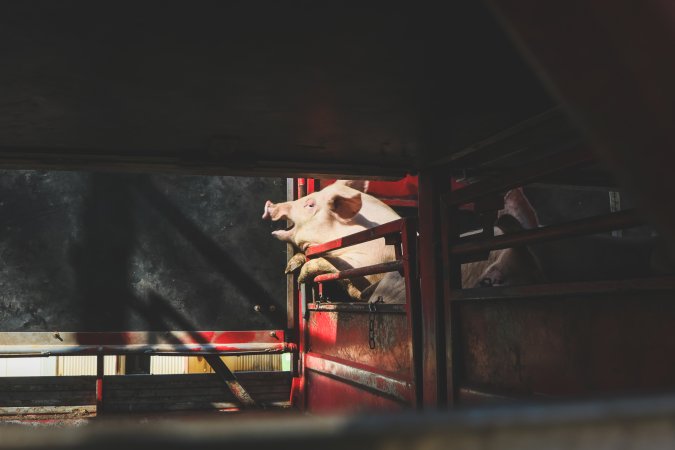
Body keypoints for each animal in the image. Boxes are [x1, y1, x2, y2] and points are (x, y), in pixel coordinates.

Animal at [262, 179, 548, 302]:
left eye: (310, 204)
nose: (270, 204)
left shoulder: (369, 265)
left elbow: (332, 264)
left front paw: (299, 274)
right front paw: (293, 266)